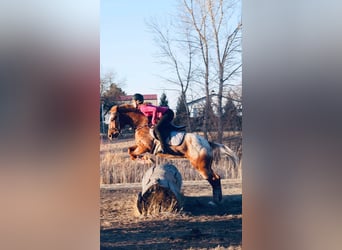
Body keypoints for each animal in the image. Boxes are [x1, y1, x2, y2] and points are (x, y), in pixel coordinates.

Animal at [107, 103, 238, 203]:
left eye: (113, 119)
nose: (111, 135)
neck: (141, 124)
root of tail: (207, 143)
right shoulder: (140, 146)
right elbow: (130, 150)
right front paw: (145, 160)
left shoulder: (145, 147)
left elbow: (133, 153)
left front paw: (147, 160)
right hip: (206, 166)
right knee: (217, 178)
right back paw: (217, 199)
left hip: (201, 166)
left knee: (214, 179)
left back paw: (215, 201)